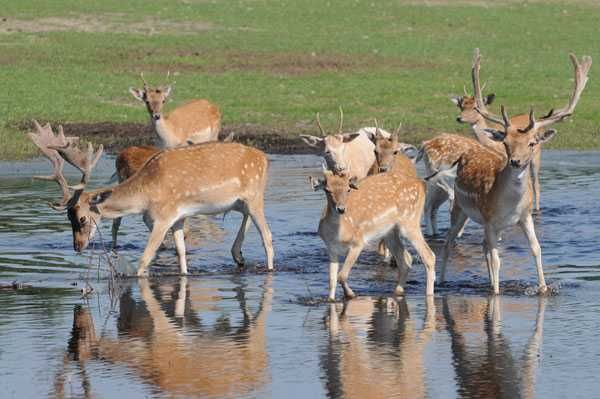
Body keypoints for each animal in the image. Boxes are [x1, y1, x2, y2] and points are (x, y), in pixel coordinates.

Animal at [27, 123, 274, 276]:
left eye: (82, 218)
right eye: (68, 218)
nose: (77, 246)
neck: (145, 197)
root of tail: (264, 158)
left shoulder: (163, 217)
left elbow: (145, 258)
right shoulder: (177, 217)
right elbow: (181, 252)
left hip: (255, 196)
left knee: (267, 235)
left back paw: (268, 268)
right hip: (239, 201)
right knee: (247, 218)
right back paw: (238, 255)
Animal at [438, 51, 592, 296]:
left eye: (531, 143)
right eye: (506, 143)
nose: (516, 161)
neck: (509, 203)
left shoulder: (524, 217)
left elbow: (536, 249)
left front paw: (543, 288)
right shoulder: (490, 219)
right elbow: (497, 259)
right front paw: (496, 292)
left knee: (483, 246)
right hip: (461, 208)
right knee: (448, 241)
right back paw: (443, 281)